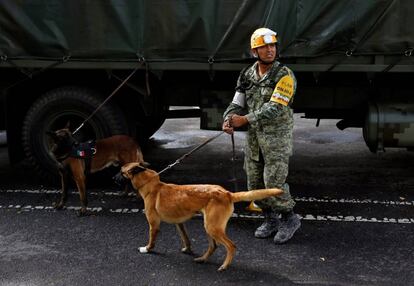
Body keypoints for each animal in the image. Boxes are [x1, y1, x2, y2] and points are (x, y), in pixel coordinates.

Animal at [118, 162, 284, 272]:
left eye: (121, 172)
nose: (113, 178)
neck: (151, 184)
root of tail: (227, 193)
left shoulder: (154, 224)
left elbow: (151, 239)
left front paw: (147, 249)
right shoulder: (179, 223)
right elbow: (185, 238)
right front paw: (187, 249)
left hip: (212, 227)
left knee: (231, 246)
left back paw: (224, 266)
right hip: (209, 226)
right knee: (214, 246)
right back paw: (202, 259)